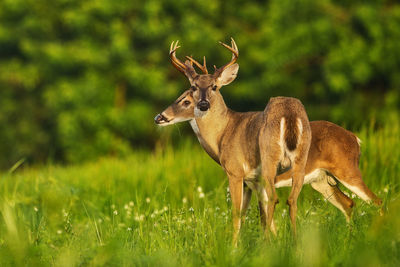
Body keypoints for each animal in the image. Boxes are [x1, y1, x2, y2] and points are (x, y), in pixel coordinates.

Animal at [155, 38, 314, 244]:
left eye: (214, 86)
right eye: (193, 87)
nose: (160, 117)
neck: (222, 134)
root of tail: (290, 114)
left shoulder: (235, 171)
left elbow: (237, 213)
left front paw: (234, 245)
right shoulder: (252, 179)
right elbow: (256, 214)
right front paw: (273, 240)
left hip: (269, 158)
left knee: (274, 198)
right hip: (300, 158)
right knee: (291, 199)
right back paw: (294, 241)